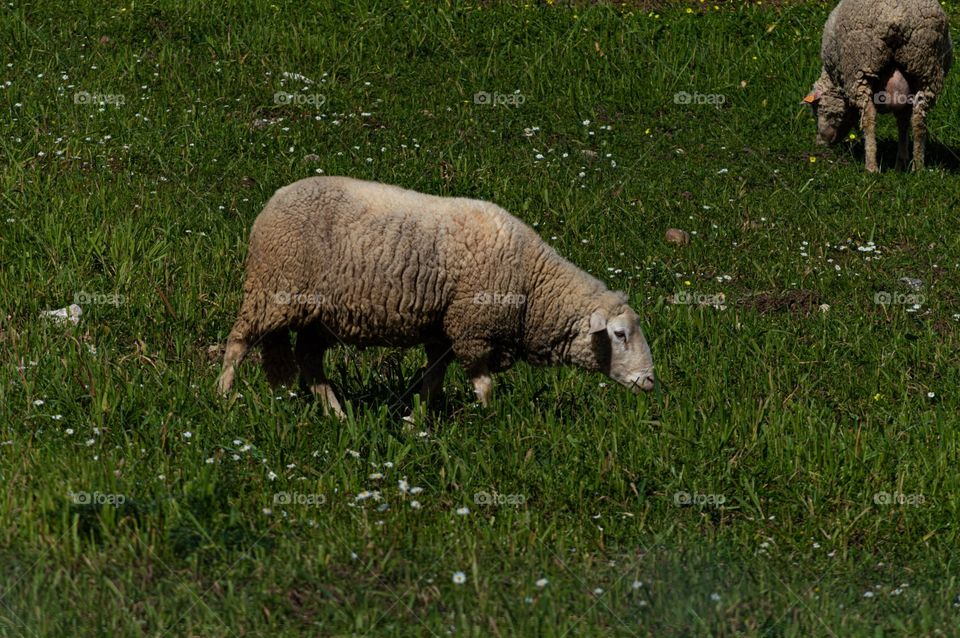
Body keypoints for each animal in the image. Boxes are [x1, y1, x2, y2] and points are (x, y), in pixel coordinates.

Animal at [216, 176, 656, 417]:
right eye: (619, 335)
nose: (650, 381)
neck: (532, 285)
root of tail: (274, 199)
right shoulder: (471, 329)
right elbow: (484, 384)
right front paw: (489, 423)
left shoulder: (444, 333)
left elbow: (432, 380)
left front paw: (417, 424)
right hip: (272, 289)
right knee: (238, 342)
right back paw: (224, 395)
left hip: (318, 316)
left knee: (309, 362)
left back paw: (337, 414)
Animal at [803, 0, 952, 172]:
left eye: (817, 109)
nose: (821, 142)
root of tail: (897, 16)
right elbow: (903, 123)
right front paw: (901, 162)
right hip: (925, 66)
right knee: (918, 121)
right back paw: (918, 168)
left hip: (861, 65)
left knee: (869, 118)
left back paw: (871, 167)